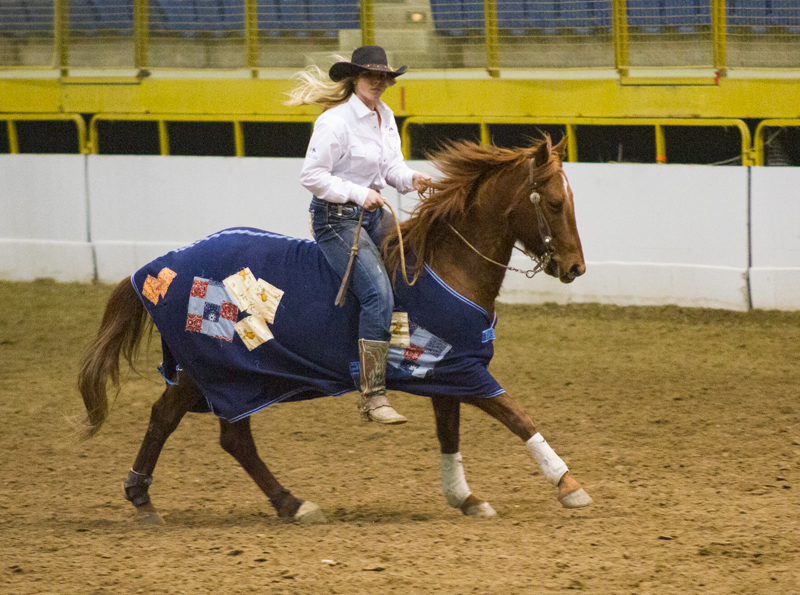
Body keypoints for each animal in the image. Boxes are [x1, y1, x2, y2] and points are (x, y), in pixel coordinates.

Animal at [78, 134, 591, 525]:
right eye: (554, 201)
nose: (575, 268)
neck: (446, 266)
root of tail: (159, 266)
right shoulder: (466, 371)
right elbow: (517, 415)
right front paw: (569, 484)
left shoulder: (446, 372)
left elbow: (450, 436)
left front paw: (465, 497)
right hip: (219, 372)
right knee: (210, 431)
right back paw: (287, 503)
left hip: (216, 376)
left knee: (189, 425)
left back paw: (156, 498)